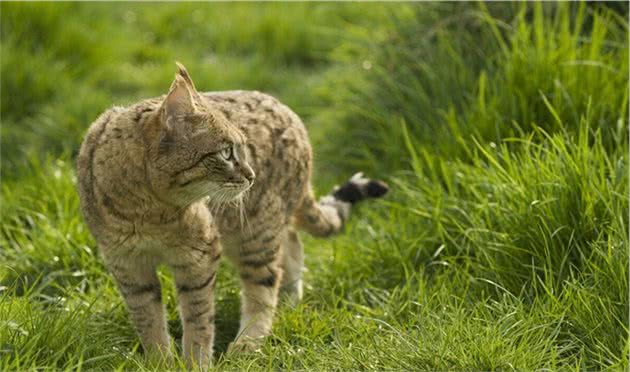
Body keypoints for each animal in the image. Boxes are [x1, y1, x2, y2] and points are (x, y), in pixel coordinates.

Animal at [76, 62, 388, 368]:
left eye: (242, 148)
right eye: (226, 153)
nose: (251, 175)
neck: (148, 212)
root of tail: (296, 121)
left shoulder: (199, 256)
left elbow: (198, 319)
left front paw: (195, 363)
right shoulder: (126, 263)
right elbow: (148, 319)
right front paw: (159, 362)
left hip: (255, 232)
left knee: (265, 283)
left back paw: (248, 343)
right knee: (291, 244)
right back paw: (289, 302)